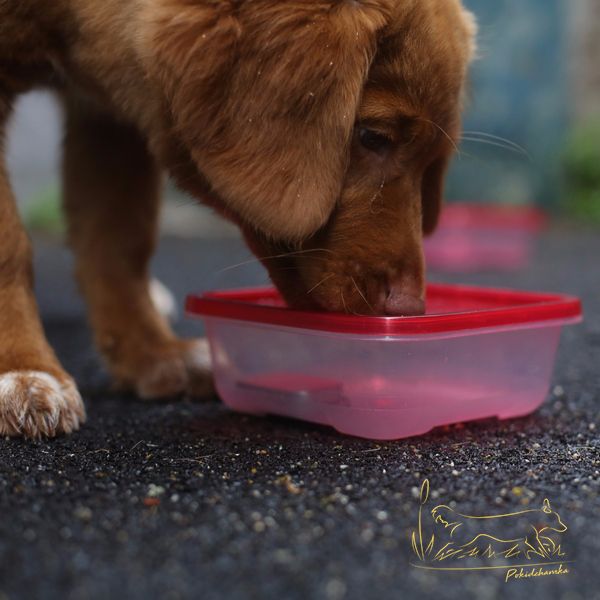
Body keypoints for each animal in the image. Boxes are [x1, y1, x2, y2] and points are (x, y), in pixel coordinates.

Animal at [0, 0, 477, 438]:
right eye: (372, 137)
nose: (409, 310)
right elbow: (12, 246)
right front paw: (24, 371)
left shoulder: (109, 117)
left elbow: (119, 240)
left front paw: (152, 354)